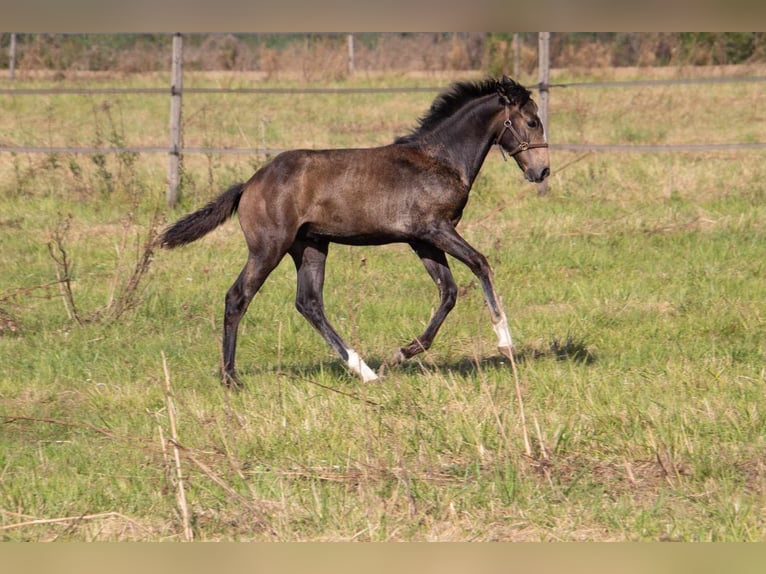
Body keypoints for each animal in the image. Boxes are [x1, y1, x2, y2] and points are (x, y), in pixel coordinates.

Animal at [159, 76, 548, 390]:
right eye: (531, 121)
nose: (542, 171)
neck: (441, 159)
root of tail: (249, 185)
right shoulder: (436, 229)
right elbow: (481, 264)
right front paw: (505, 341)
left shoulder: (422, 240)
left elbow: (448, 292)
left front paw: (402, 353)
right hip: (269, 247)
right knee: (238, 297)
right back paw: (231, 378)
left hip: (310, 246)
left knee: (309, 303)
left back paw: (365, 371)